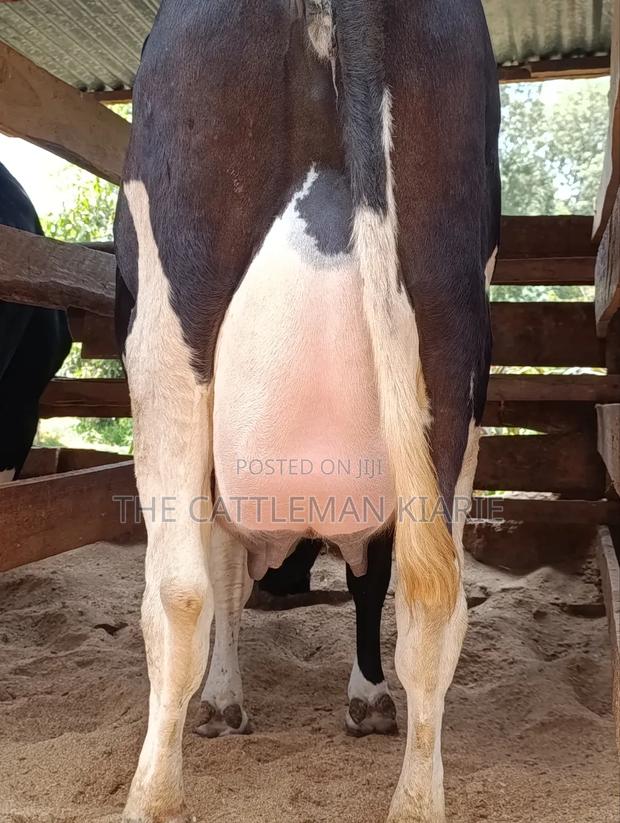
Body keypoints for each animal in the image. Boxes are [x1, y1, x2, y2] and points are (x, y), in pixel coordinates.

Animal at [115, 1, 500, 820]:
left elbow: (221, 576)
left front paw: (223, 702)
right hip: (452, 341)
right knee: (432, 598)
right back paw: (415, 796)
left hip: (166, 326)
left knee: (179, 593)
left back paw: (154, 795)